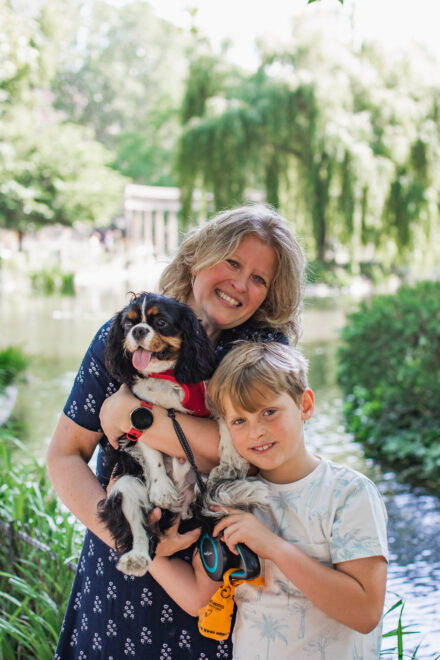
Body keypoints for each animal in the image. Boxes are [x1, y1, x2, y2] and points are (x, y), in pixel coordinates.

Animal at [99, 294, 217, 576]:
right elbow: (152, 454)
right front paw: (162, 488)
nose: (138, 331)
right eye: (128, 324)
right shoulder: (141, 414)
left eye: (161, 322)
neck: (166, 374)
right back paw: (137, 558)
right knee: (140, 531)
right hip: (126, 486)